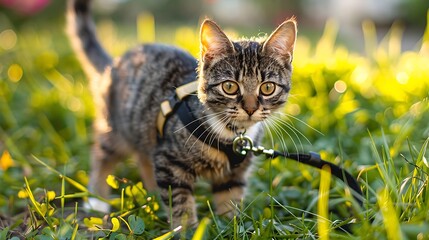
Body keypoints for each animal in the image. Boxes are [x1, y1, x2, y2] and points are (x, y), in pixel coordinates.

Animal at [67, 0, 296, 229]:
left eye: (267, 88)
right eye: (229, 87)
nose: (250, 109)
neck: (231, 133)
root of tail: (113, 64)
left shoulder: (234, 174)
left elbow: (229, 198)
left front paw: (230, 226)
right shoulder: (170, 162)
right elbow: (180, 201)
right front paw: (187, 229)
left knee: (143, 156)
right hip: (117, 127)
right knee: (103, 154)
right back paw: (97, 199)